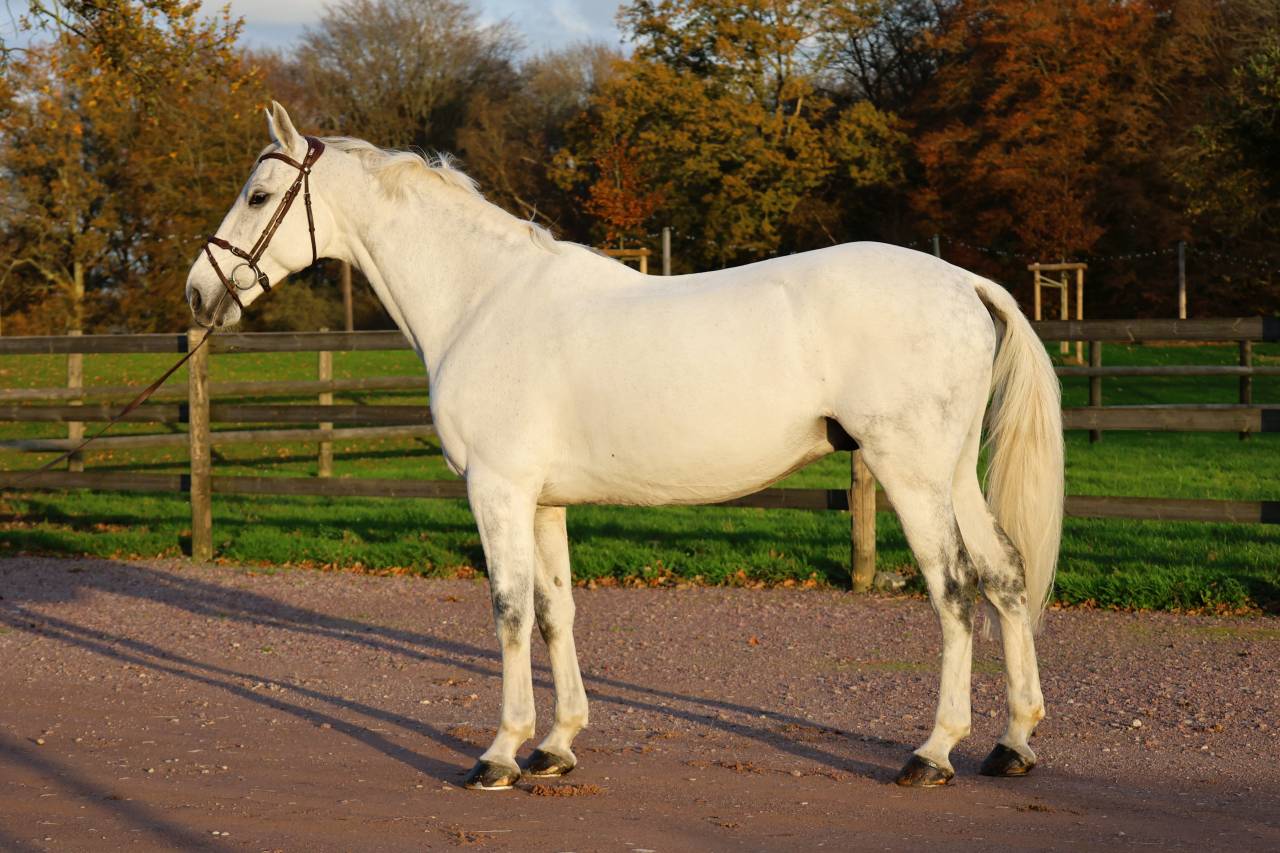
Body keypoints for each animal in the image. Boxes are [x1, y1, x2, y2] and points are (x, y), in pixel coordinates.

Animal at [186, 102, 1064, 790]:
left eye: (258, 194)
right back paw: (1012, 742)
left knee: (953, 593)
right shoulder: (543, 501)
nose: (199, 292)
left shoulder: (496, 489)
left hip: (908, 473)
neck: (483, 299)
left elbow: (508, 610)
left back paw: (933, 752)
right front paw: (555, 745)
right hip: (951, 473)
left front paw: (499, 753)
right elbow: (555, 611)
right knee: (1003, 576)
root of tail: (963, 282)